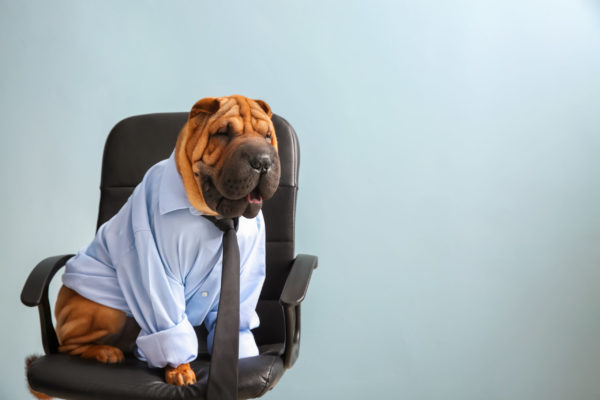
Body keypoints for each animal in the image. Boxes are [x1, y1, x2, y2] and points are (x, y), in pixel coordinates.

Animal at [35, 94, 282, 390]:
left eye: (267, 136)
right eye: (223, 133)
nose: (262, 161)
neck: (214, 217)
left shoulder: (246, 271)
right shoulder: (158, 269)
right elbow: (169, 324)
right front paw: (179, 370)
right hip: (106, 311)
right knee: (66, 346)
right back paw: (105, 352)